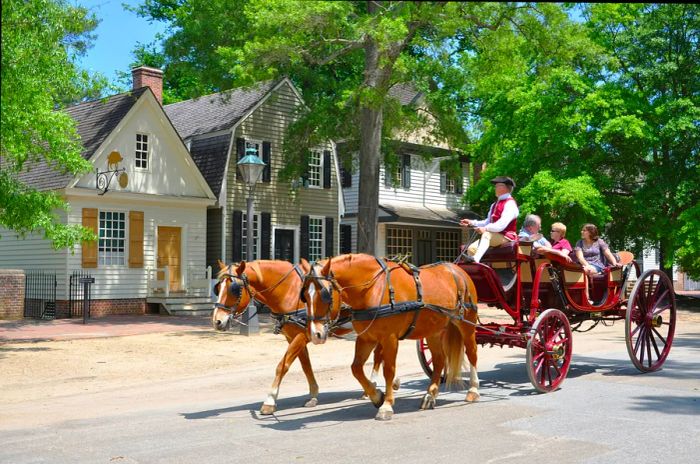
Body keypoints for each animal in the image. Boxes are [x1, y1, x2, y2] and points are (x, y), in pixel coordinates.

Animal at [211, 260, 392, 416]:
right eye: (218, 288)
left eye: (234, 289)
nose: (217, 321)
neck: (288, 291)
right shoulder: (293, 337)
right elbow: (306, 365)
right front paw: (313, 395)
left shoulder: (300, 335)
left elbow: (282, 366)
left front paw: (270, 401)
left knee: (378, 356)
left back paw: (373, 386)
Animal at [304, 254, 478, 420]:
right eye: (304, 295)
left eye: (325, 295)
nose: (315, 334)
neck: (372, 288)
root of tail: (458, 270)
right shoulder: (366, 338)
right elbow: (356, 368)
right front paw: (376, 396)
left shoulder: (390, 338)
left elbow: (388, 370)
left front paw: (386, 405)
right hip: (434, 330)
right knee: (439, 360)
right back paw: (430, 395)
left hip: (466, 324)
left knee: (471, 353)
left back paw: (473, 390)